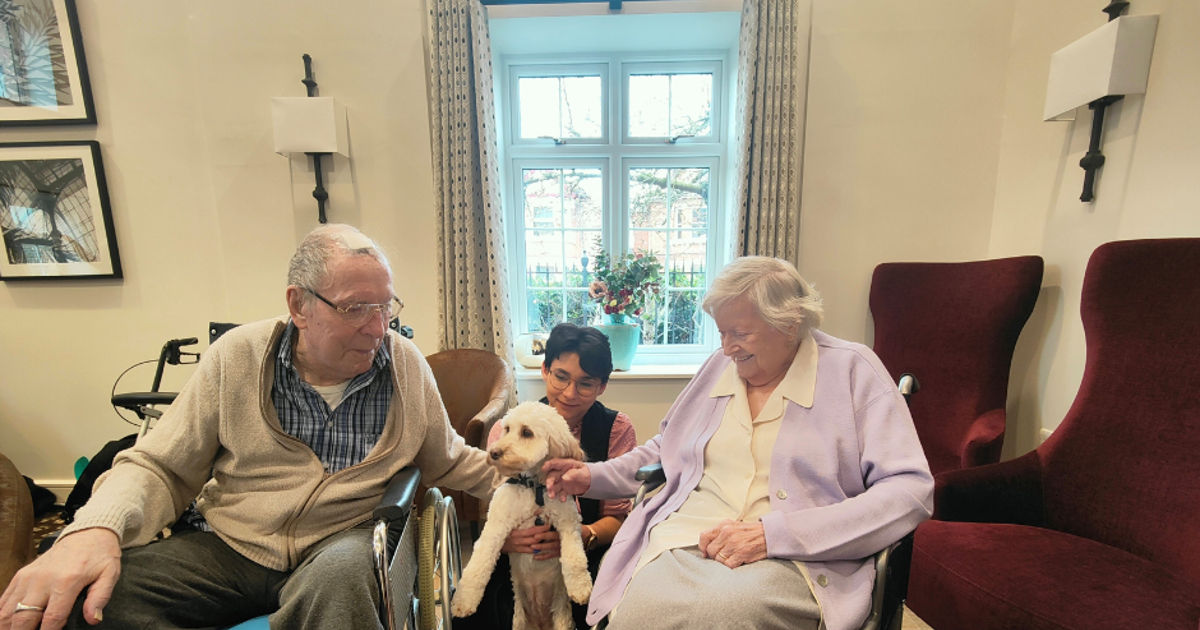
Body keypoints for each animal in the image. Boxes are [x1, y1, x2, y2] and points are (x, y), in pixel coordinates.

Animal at [451, 400, 592, 628]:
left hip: (562, 621)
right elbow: (478, 563)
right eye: (507, 429)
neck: (531, 486)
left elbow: (575, 557)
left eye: (527, 432)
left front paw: (580, 587)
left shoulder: (569, 521)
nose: (494, 452)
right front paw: (464, 601)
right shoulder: (496, 525)